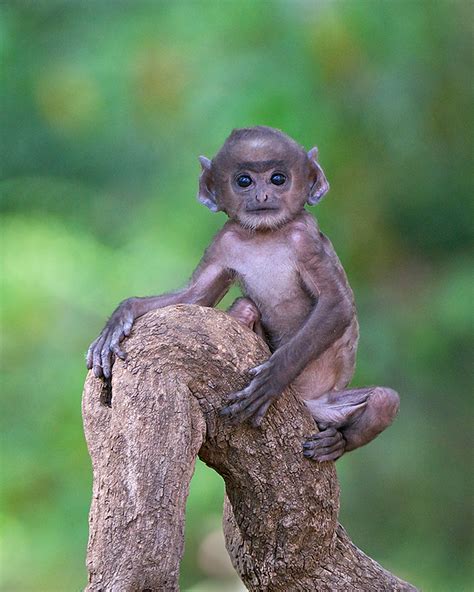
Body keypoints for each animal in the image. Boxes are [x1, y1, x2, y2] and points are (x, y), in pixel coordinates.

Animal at [86, 127, 400, 462]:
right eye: (244, 181)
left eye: (278, 179)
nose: (261, 196)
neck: (266, 235)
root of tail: (309, 404)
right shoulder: (224, 241)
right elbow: (197, 296)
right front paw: (119, 320)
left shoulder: (305, 238)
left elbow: (336, 303)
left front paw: (273, 378)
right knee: (245, 306)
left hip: (330, 404)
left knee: (385, 399)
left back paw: (336, 443)